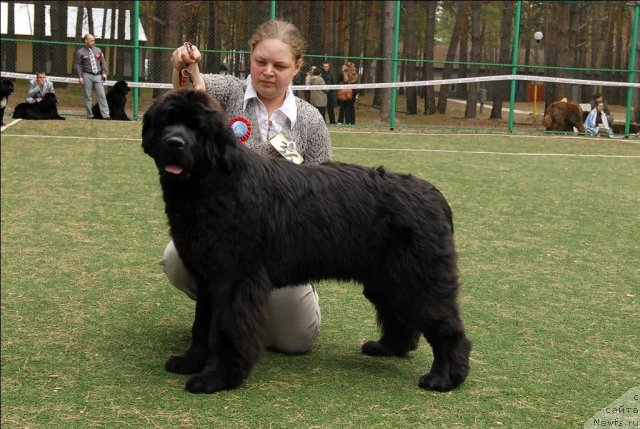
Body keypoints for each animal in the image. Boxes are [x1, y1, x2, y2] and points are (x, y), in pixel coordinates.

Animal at [141, 90, 470, 394]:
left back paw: (443, 377)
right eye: (166, 121)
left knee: (447, 328)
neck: (211, 183)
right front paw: (189, 361)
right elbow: (201, 325)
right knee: (399, 316)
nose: (175, 143)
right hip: (386, 279)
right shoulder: (207, 278)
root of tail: (435, 196)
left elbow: (223, 329)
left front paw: (216, 377)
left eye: (197, 127)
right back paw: (387, 347)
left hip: (417, 278)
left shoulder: (234, 279)